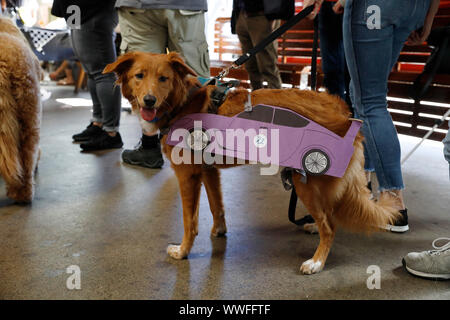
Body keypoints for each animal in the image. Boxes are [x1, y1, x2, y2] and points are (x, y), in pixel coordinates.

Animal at [103, 52, 400, 276]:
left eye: (163, 78)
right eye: (139, 76)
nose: (149, 100)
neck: (182, 102)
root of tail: (346, 114)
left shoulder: (188, 176)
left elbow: (190, 221)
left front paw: (183, 251)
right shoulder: (209, 172)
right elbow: (217, 206)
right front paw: (219, 232)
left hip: (306, 178)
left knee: (331, 225)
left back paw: (316, 261)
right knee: (329, 215)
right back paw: (315, 227)